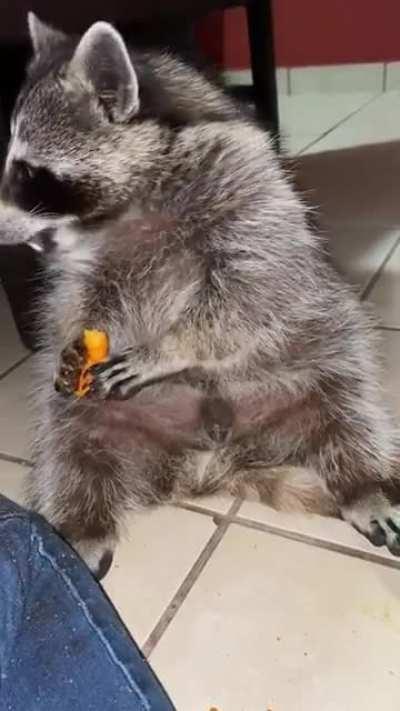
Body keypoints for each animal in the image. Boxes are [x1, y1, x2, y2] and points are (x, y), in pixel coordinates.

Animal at [1, 15, 400, 578]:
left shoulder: (250, 190)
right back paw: (78, 529)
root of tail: (208, 466)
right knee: (70, 445)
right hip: (99, 414)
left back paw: (364, 482)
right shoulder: (84, 267)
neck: (126, 207)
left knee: (349, 412)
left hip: (315, 363)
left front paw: (168, 348)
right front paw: (78, 337)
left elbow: (251, 287)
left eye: (28, 172)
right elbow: (84, 300)